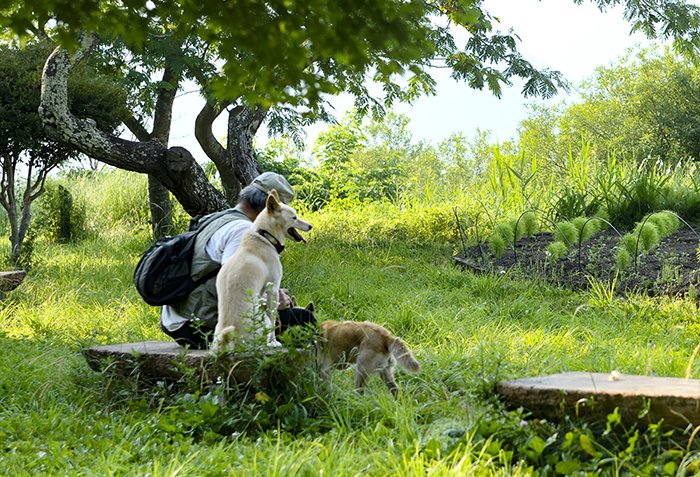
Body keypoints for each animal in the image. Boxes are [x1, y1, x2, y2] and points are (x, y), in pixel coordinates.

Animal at [212, 191, 314, 354]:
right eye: (294, 217)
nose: (310, 226)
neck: (264, 237)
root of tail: (228, 342)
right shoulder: (273, 289)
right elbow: (273, 320)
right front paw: (273, 342)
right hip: (261, 319)